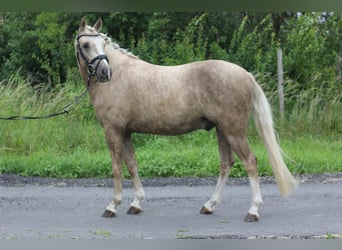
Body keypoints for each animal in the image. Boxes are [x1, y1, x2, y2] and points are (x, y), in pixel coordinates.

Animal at [74, 17, 296, 222]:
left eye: (102, 44)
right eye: (86, 45)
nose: (105, 72)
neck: (119, 76)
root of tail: (246, 74)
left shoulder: (113, 131)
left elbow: (117, 168)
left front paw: (112, 206)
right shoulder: (126, 132)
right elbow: (131, 165)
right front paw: (136, 203)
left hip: (233, 130)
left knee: (250, 162)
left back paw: (253, 210)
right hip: (222, 130)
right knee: (226, 164)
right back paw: (209, 205)